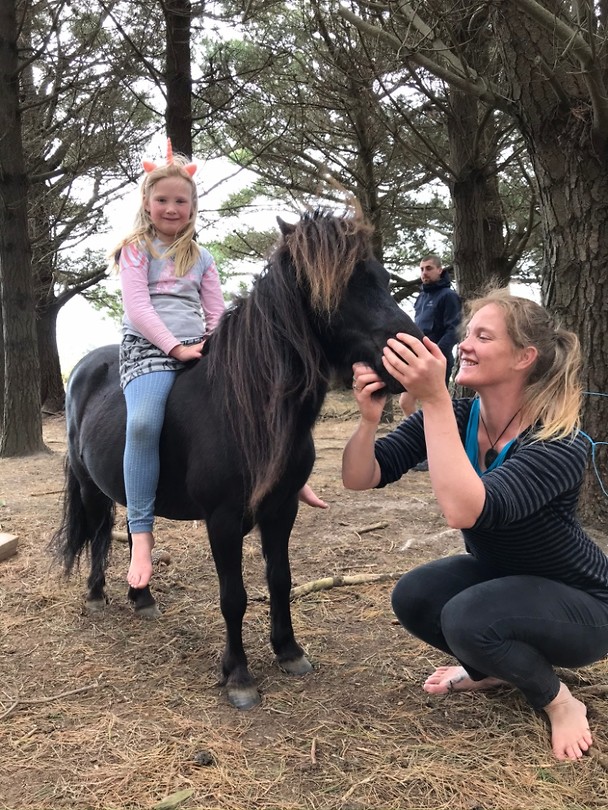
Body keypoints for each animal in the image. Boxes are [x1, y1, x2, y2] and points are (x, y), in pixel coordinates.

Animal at [52, 209, 421, 710]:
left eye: (382, 278)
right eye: (340, 287)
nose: (418, 349)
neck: (243, 409)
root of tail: (86, 367)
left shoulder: (282, 510)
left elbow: (280, 579)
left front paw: (289, 651)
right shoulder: (223, 520)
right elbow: (234, 596)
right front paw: (239, 676)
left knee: (133, 530)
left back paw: (141, 596)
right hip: (91, 486)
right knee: (96, 534)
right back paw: (95, 595)